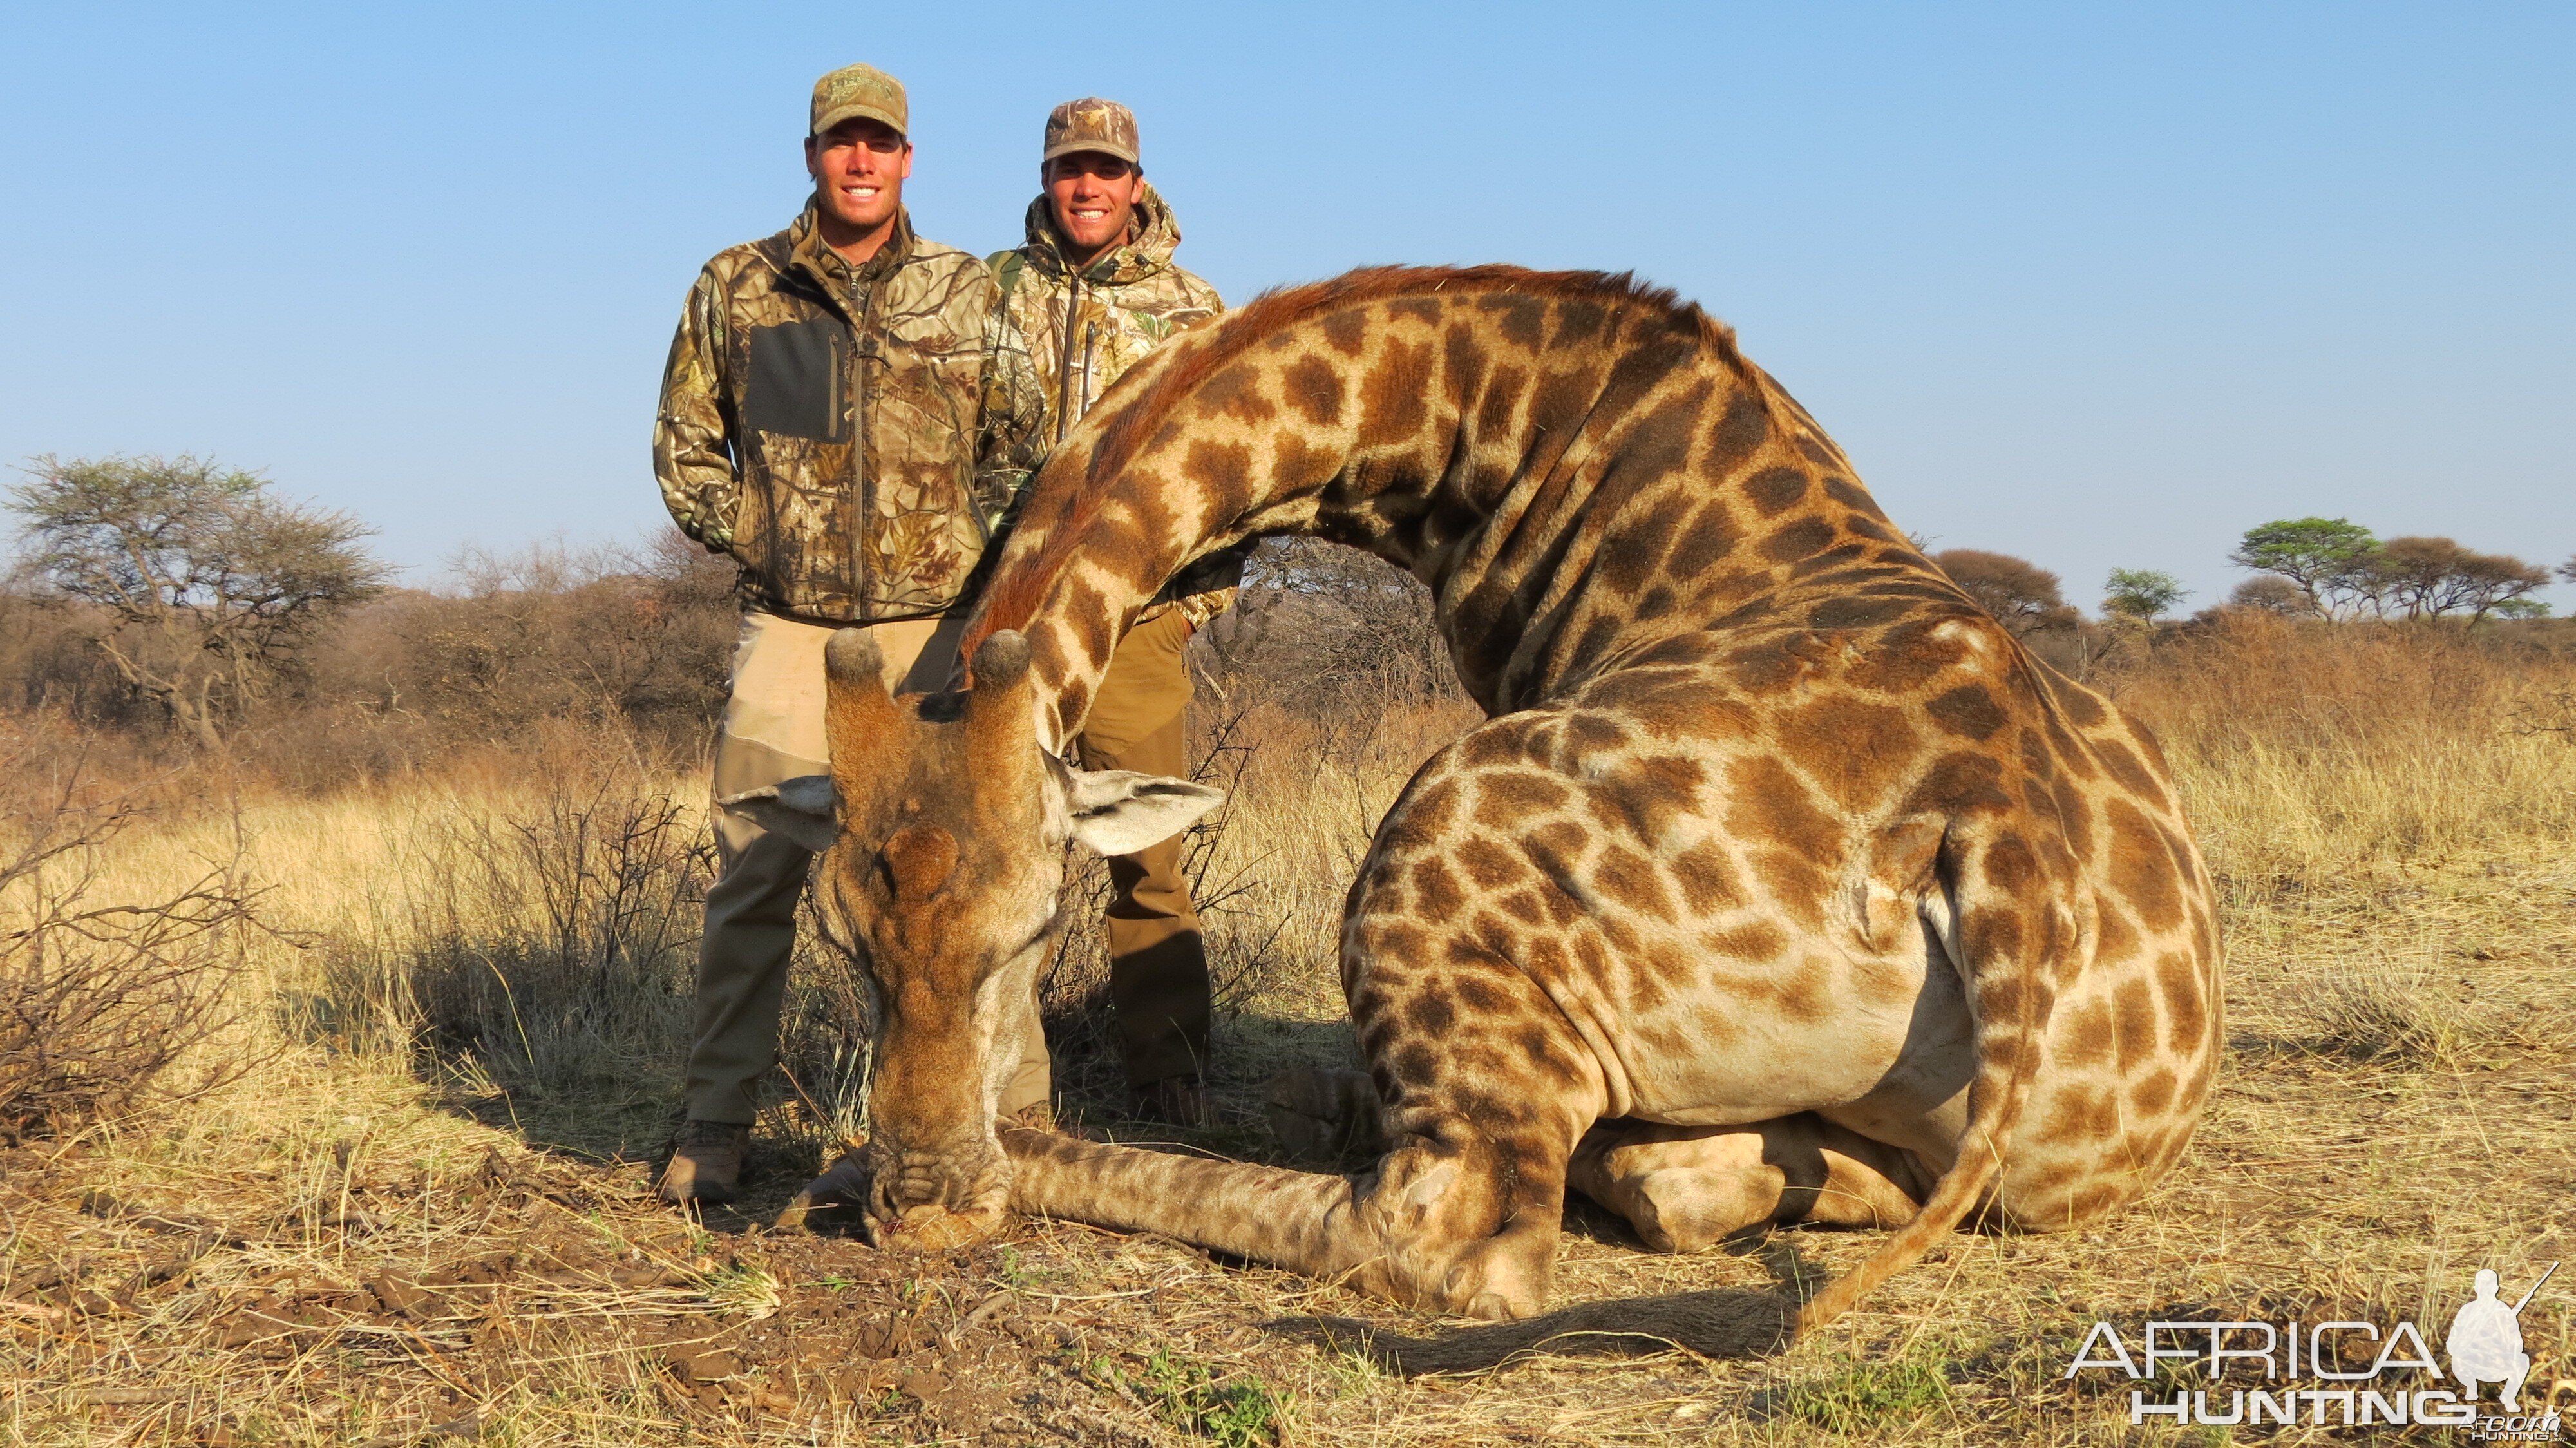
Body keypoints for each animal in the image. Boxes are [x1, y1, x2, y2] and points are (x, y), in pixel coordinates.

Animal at [747, 262, 2215, 1329]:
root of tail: (1998, 845)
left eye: (1031, 930)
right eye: (847, 945)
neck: (1505, 420)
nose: (925, 1199)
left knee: (1448, 1236)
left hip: (1420, 835)